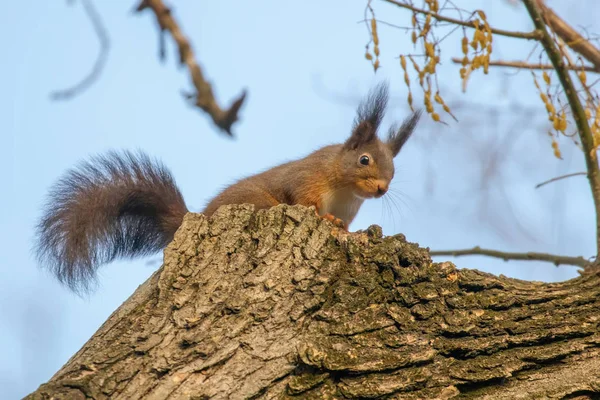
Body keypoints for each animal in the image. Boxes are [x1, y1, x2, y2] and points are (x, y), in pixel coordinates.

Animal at [36, 83, 422, 290]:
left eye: (394, 170)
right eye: (365, 160)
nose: (382, 189)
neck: (343, 190)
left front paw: (345, 228)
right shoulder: (307, 178)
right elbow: (304, 201)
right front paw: (325, 220)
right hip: (255, 201)